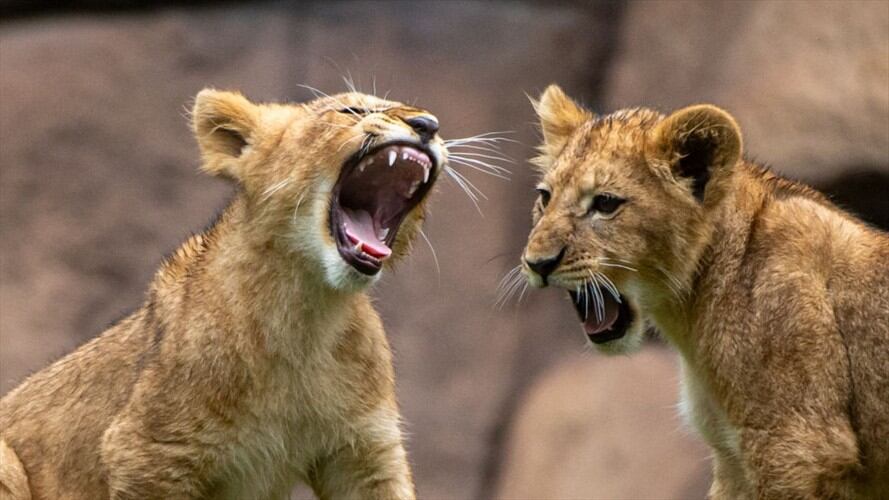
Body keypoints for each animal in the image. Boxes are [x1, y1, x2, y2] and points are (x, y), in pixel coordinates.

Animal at [0, 89, 449, 499]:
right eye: (351, 110)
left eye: (427, 121)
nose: (428, 124)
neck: (306, 311)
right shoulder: (146, 453)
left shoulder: (364, 452)